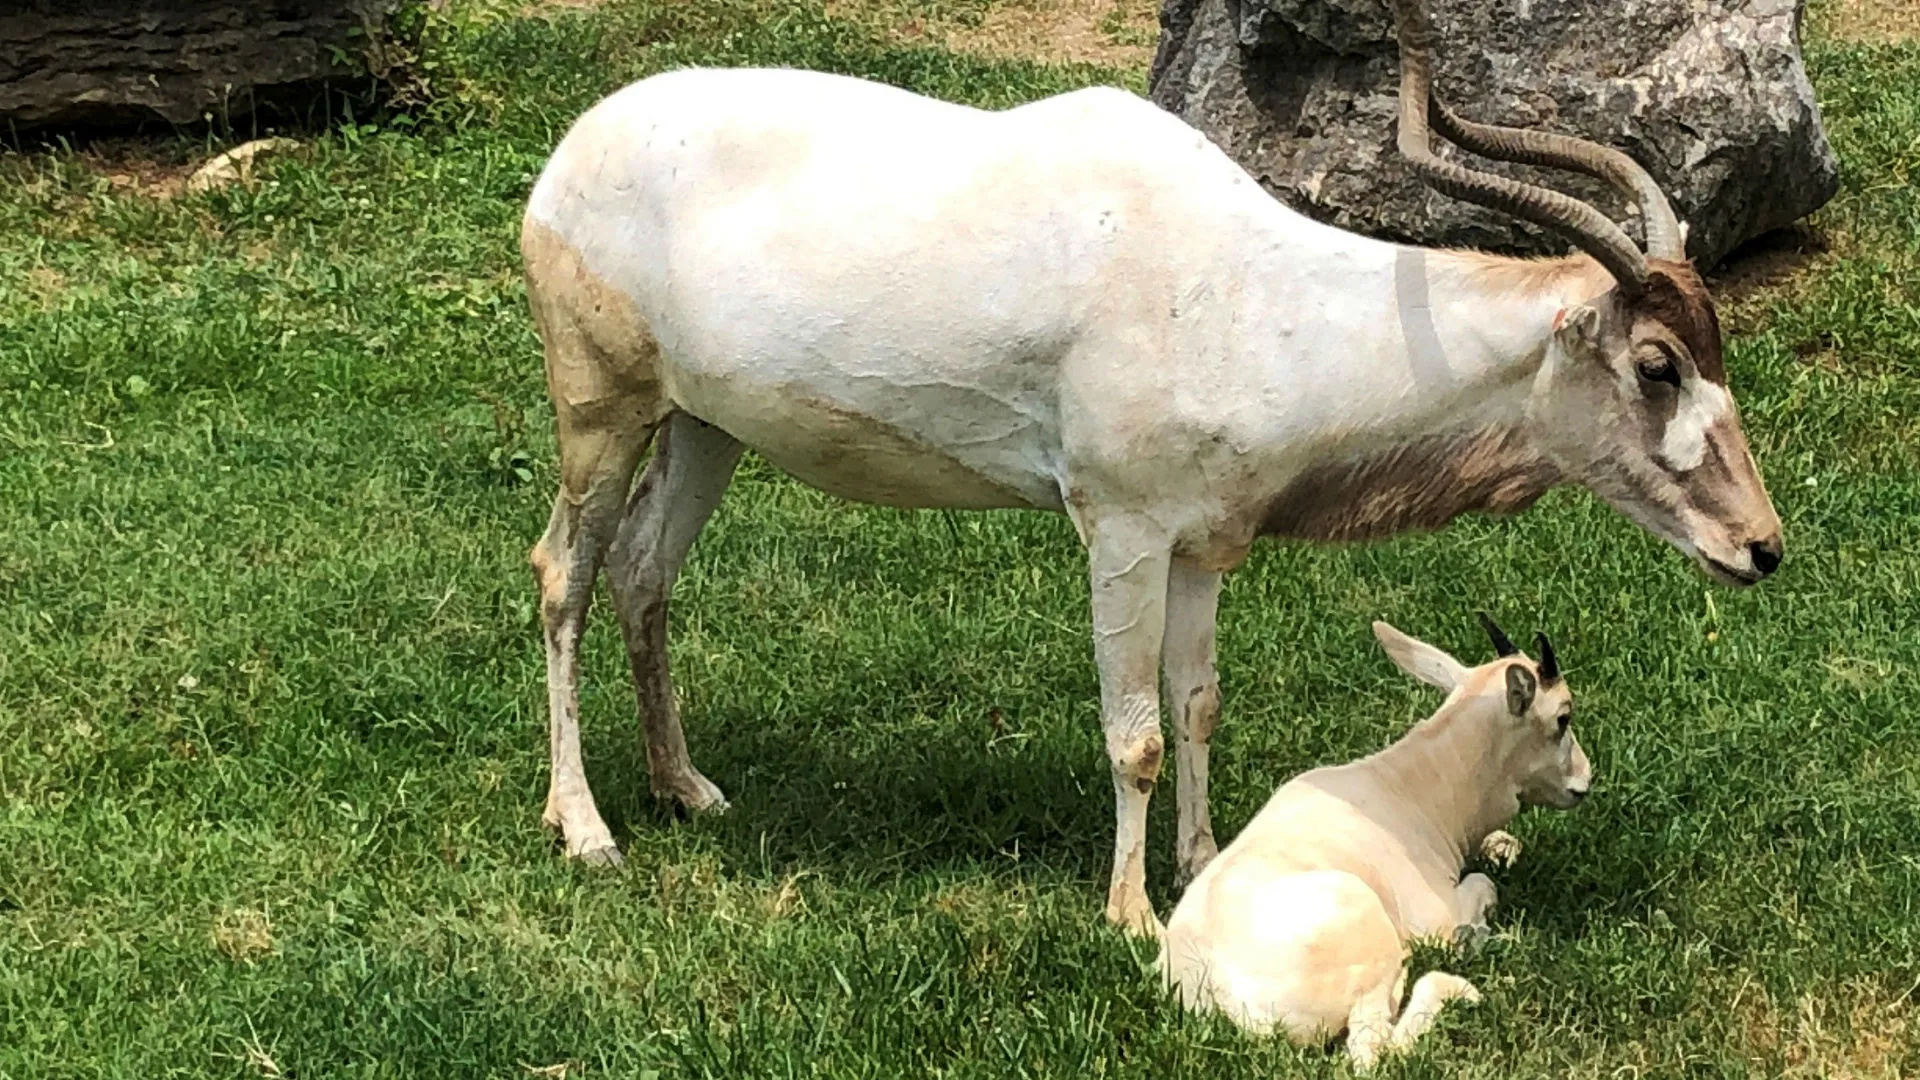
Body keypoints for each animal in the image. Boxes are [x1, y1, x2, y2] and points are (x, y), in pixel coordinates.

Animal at [514, 0, 1781, 933]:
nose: (1760, 547)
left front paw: (1202, 860)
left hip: (703, 427)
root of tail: (572, 154)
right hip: (602, 406)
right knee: (564, 574)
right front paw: (1129, 916)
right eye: (1658, 364)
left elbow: (1199, 702)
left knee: (643, 569)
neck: (1253, 295)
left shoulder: (1203, 543)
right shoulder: (1118, 530)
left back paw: (684, 788)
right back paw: (587, 828)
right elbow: (1135, 730)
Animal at [1152, 614, 1589, 1068]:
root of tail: (1228, 1000)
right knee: (1373, 1048)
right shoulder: (1437, 916)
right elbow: (1484, 884)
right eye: (1563, 718)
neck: (1411, 787)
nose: (1584, 781)